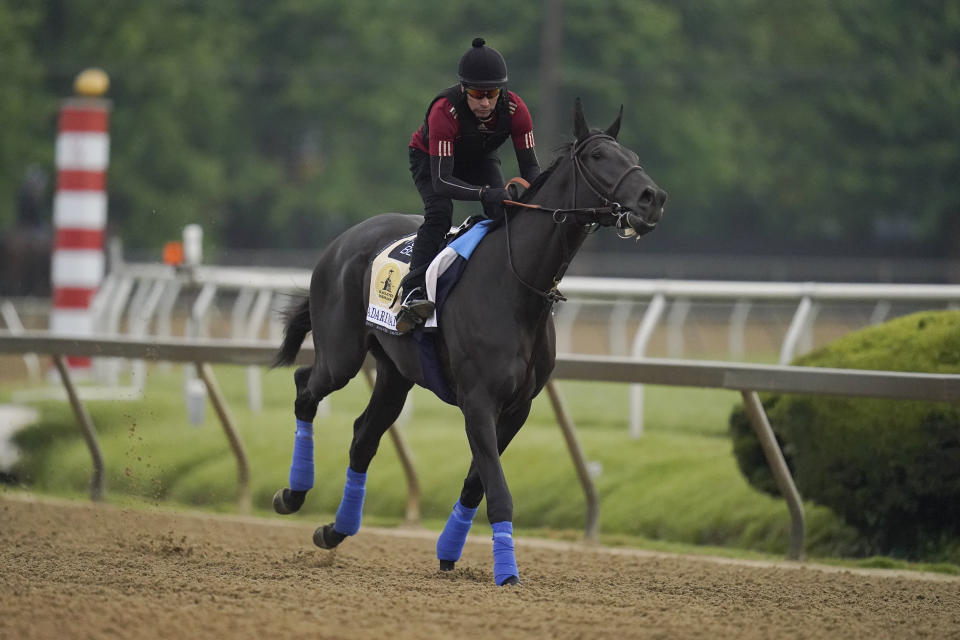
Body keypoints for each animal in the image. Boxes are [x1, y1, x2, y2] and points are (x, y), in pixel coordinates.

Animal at [266, 100, 664, 584]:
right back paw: (293, 494)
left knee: (363, 435)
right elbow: (497, 488)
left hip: (396, 373)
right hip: (341, 354)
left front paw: (448, 551)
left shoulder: (517, 407)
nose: (653, 197)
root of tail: (343, 239)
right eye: (598, 157)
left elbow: (478, 483)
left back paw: (335, 529)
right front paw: (507, 571)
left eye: (633, 156)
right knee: (306, 387)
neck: (515, 282)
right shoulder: (478, 400)